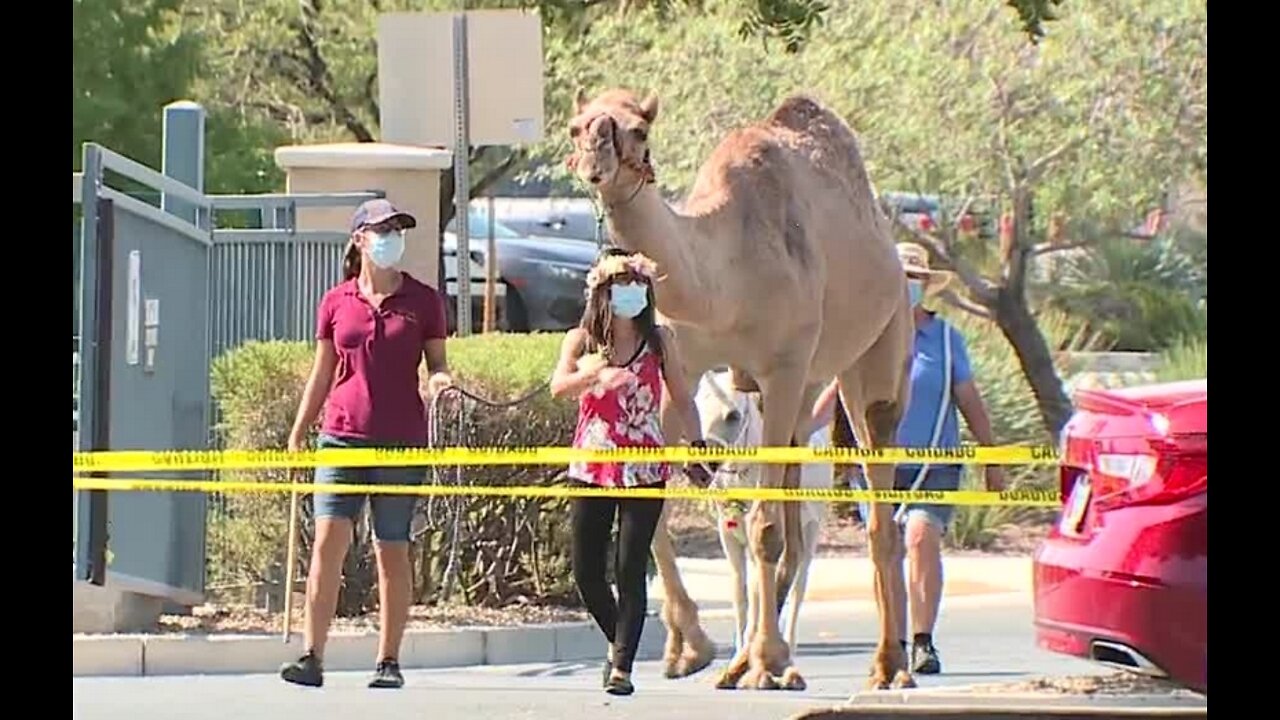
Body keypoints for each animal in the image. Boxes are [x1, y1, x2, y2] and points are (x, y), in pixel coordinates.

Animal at [696, 366, 834, 653]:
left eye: (733, 415)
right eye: (698, 406)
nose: (703, 466)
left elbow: (758, 591)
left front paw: (751, 645)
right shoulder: (729, 537)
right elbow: (740, 591)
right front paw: (741, 646)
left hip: (812, 529)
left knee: (798, 587)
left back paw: (788, 645)